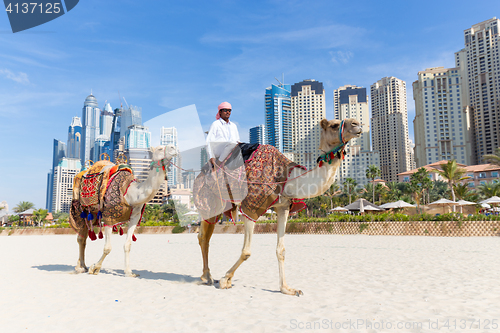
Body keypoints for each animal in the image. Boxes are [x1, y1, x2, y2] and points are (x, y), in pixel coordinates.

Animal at [72, 144, 178, 276]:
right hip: (79, 207)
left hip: (93, 213)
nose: (174, 148)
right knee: (80, 237)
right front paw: (95, 268)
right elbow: (107, 248)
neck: (131, 194)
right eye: (159, 148)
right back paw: (80, 267)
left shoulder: (134, 217)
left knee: (84, 237)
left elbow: (128, 245)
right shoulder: (109, 217)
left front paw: (129, 272)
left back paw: (83, 266)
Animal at [197, 118, 362, 294]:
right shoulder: (251, 207)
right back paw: (207, 277)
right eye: (334, 125)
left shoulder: (284, 208)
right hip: (209, 203)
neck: (288, 179)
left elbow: (281, 250)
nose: (356, 124)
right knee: (203, 237)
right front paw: (225, 280)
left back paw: (207, 276)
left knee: (206, 237)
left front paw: (288, 289)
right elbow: (246, 251)